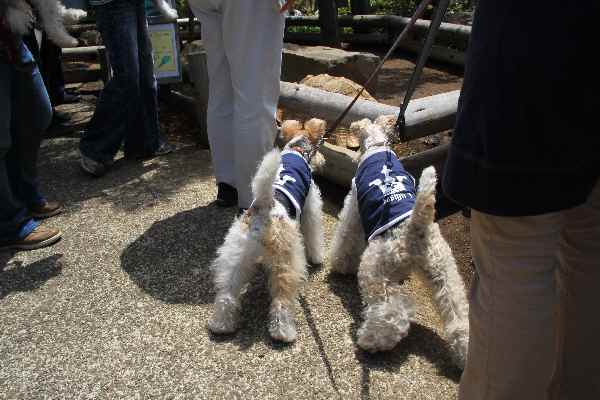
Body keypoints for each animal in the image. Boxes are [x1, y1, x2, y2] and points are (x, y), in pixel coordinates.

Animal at [208, 120, 325, 343]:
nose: (323, 161)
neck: (297, 149)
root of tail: (263, 205)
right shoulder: (311, 207)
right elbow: (314, 235)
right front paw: (317, 258)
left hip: (236, 255)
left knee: (227, 294)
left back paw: (221, 325)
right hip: (285, 261)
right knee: (281, 301)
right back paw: (283, 332)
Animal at [329, 117, 469, 368]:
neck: (377, 146)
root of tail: (415, 228)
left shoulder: (353, 207)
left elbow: (345, 238)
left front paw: (340, 265)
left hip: (374, 269)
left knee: (391, 314)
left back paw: (372, 341)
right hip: (444, 273)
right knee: (459, 318)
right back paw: (463, 356)